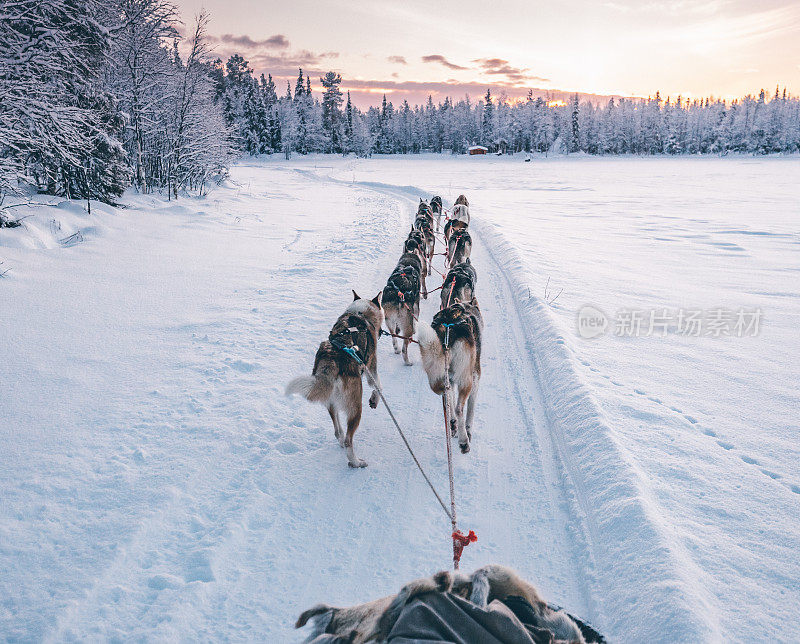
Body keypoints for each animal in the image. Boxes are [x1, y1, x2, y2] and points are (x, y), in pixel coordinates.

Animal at [288, 292, 384, 468]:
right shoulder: (371, 369)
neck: (360, 314)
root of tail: (331, 359)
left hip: (331, 402)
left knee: (338, 432)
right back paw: (356, 462)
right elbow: (378, 387)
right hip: (355, 408)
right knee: (348, 440)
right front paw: (374, 400)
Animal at [418, 298, 482, 452]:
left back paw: (453, 425)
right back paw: (464, 441)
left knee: (447, 399)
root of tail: (447, 330)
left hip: (440, 376)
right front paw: (468, 430)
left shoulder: (452, 380)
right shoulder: (475, 377)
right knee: (459, 408)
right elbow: (470, 410)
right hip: (465, 381)